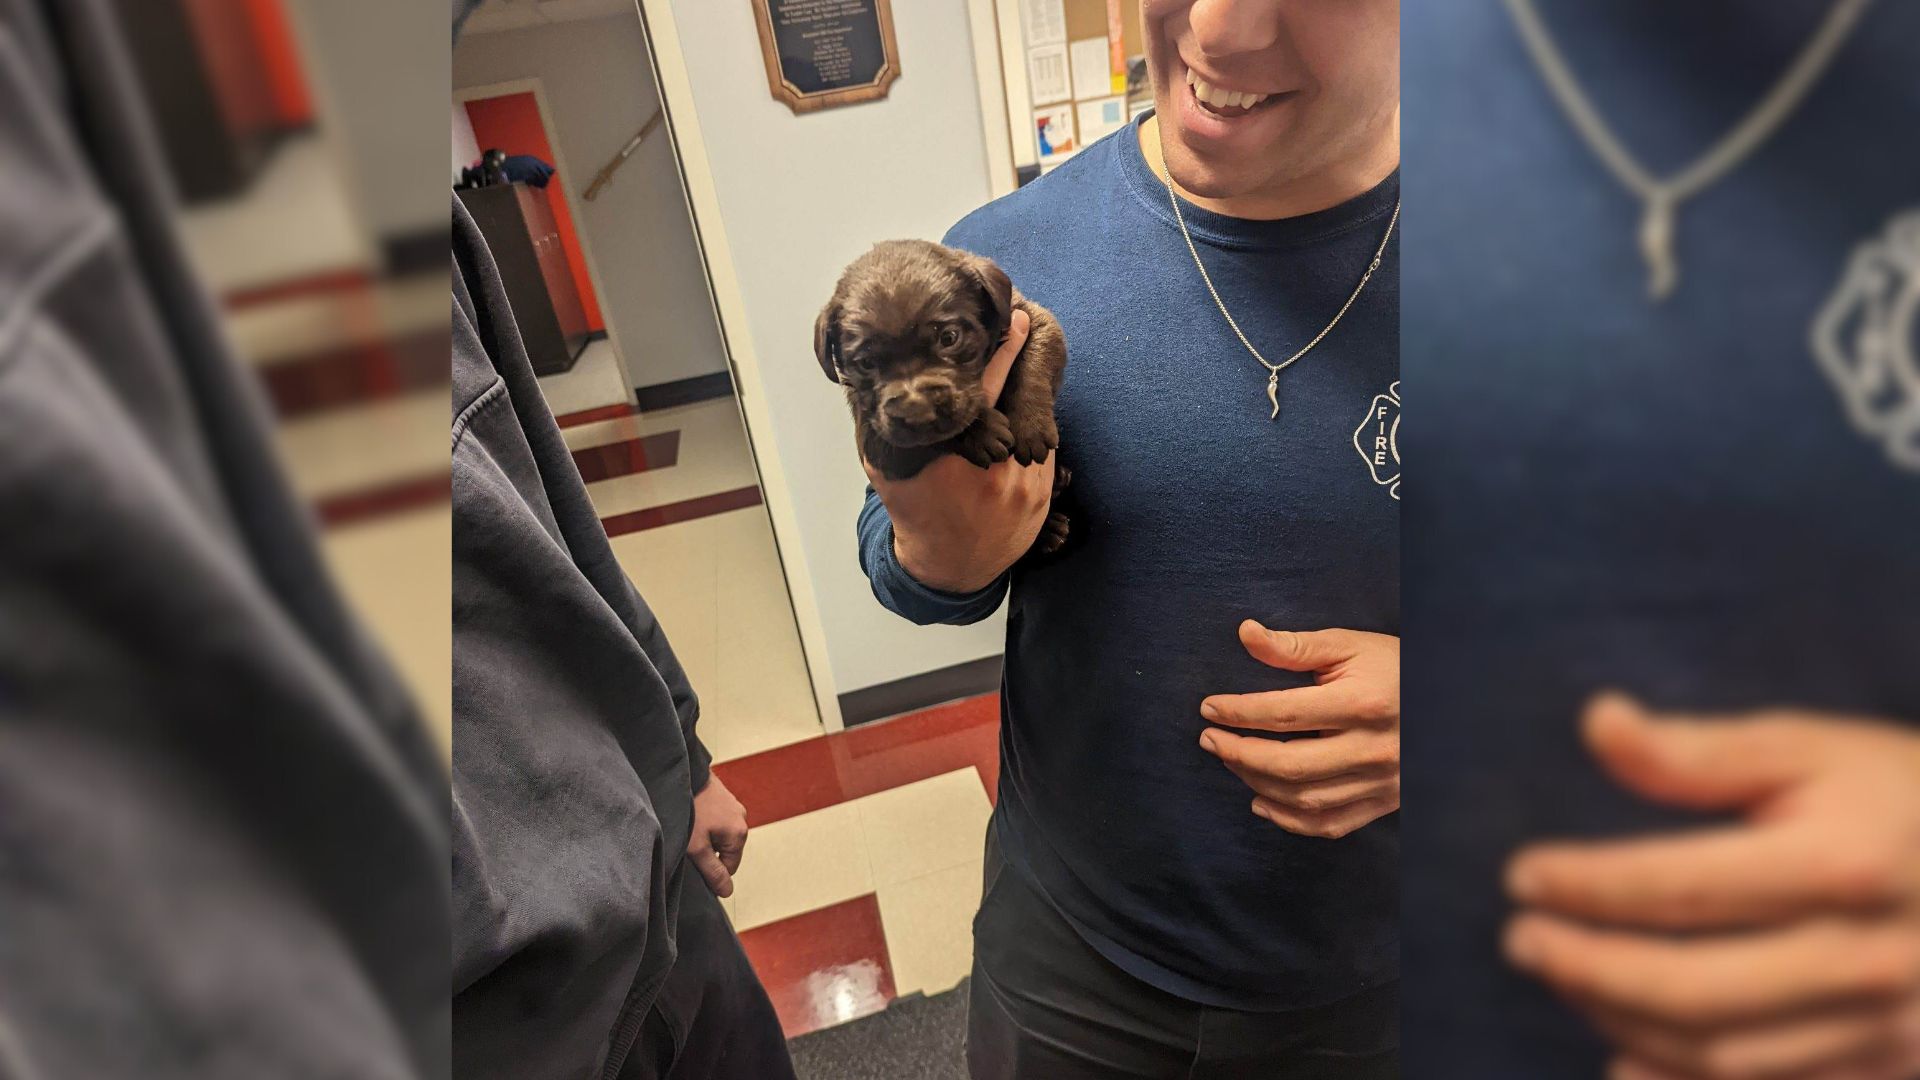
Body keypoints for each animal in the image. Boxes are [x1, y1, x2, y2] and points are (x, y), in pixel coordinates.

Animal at [814, 238, 1075, 549]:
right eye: (866, 363)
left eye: (949, 338)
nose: (917, 411)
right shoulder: (879, 445)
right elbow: (935, 438)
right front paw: (981, 432)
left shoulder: (1032, 319)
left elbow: (1033, 363)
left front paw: (1030, 427)